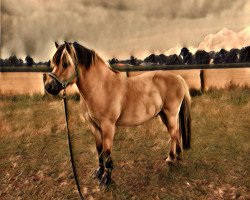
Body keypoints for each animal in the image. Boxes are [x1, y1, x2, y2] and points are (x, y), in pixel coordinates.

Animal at [44, 41, 191, 187]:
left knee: (174, 133)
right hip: (164, 115)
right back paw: (177, 156)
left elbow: (107, 151)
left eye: (65, 63)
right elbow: (99, 150)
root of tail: (178, 77)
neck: (100, 87)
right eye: (53, 63)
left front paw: (106, 179)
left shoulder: (108, 126)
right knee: (176, 133)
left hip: (170, 114)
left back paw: (171, 159)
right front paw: (99, 173)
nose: (48, 87)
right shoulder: (94, 127)